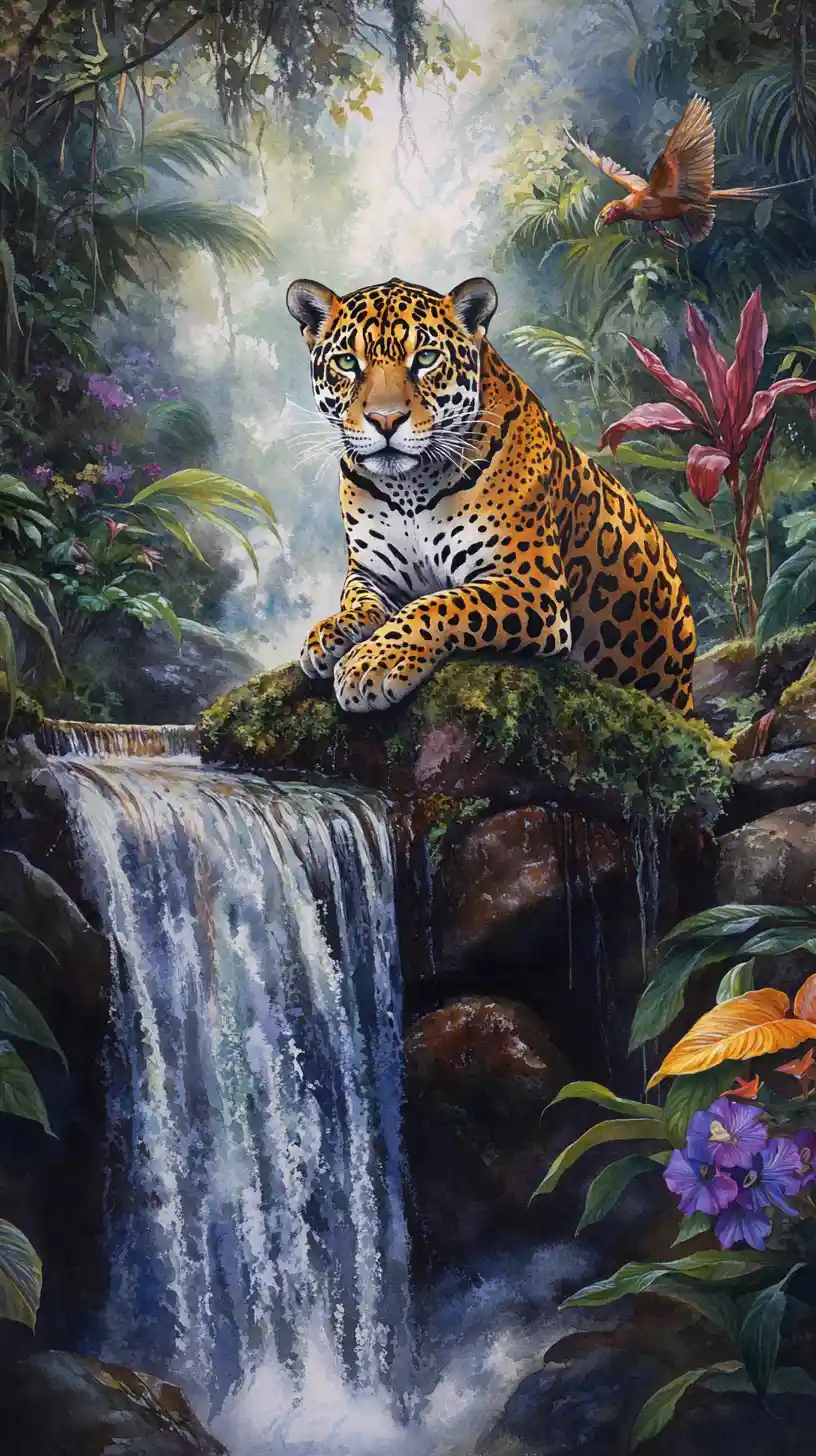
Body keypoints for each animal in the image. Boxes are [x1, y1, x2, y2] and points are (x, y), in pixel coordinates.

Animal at [286, 274, 696, 716]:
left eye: (426, 358)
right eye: (347, 363)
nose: (386, 420)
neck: (409, 485)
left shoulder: (531, 584)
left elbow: (440, 604)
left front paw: (373, 662)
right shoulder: (372, 571)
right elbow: (360, 600)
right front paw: (333, 632)